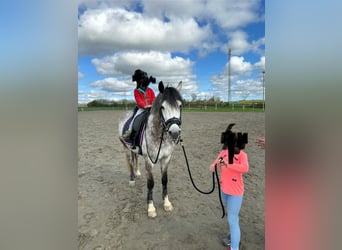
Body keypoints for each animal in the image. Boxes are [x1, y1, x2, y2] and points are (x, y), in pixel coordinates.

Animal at [118, 81, 183, 218]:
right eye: (162, 107)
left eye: (180, 106)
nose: (175, 133)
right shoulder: (149, 161)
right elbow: (151, 183)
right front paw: (151, 208)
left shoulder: (166, 158)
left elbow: (164, 180)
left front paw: (167, 204)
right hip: (125, 148)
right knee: (130, 162)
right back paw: (132, 179)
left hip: (134, 149)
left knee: (135, 158)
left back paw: (137, 173)